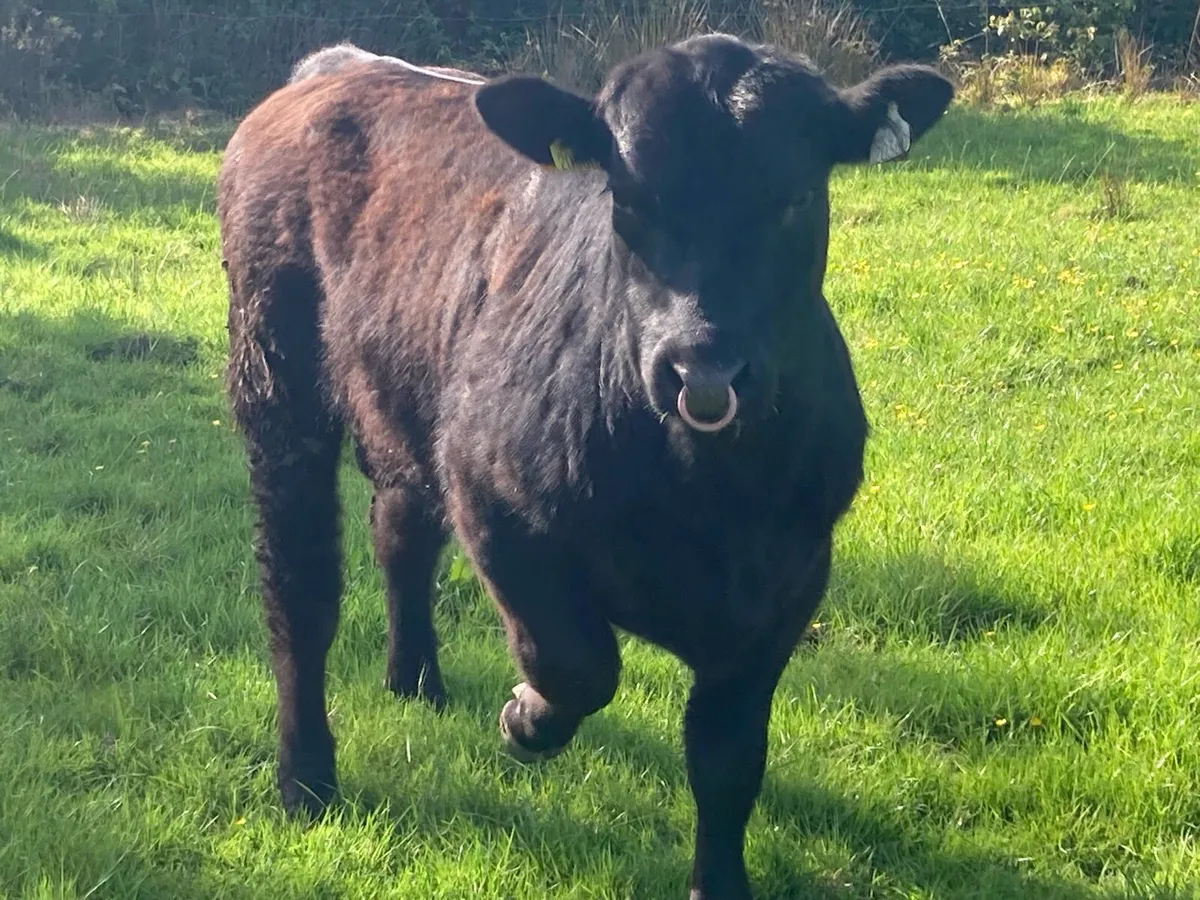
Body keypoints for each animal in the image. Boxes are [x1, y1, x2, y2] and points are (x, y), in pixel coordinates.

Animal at [216, 35, 954, 899]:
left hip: (402, 402)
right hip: (275, 379)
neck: (705, 499)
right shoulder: (495, 503)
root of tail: (343, 65)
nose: (703, 369)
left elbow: (728, 756)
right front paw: (526, 719)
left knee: (398, 532)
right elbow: (578, 665)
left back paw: (415, 681)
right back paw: (306, 778)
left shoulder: (790, 579)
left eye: (800, 195)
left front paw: (719, 881)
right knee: (300, 593)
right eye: (625, 201)